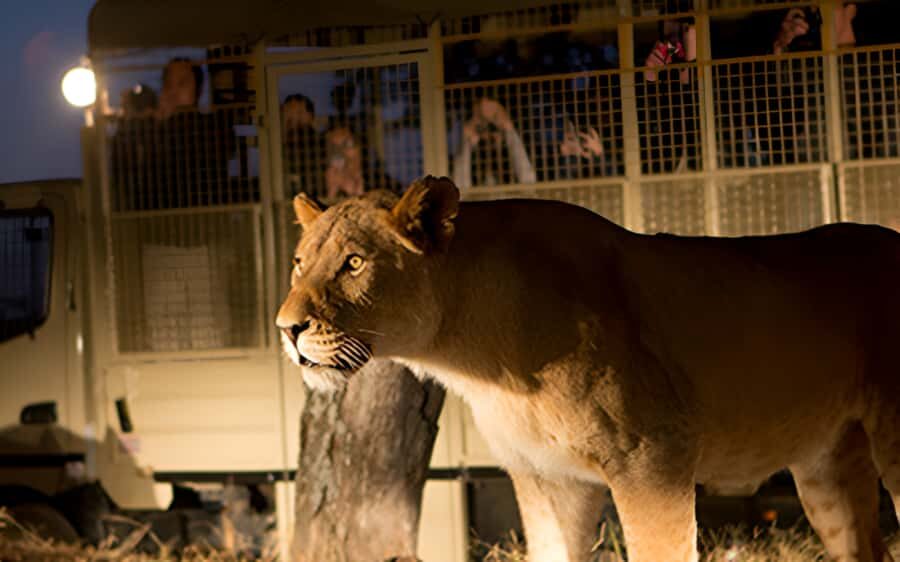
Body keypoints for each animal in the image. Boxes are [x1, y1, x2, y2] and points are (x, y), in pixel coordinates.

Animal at [276, 176, 900, 562]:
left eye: (354, 263)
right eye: (300, 262)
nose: (287, 328)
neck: (476, 359)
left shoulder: (655, 460)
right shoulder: (544, 476)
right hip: (827, 466)